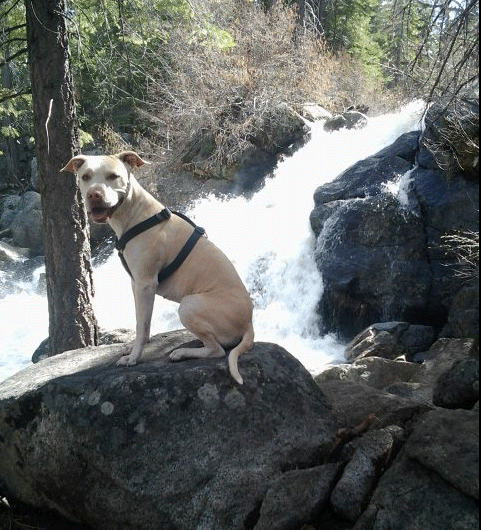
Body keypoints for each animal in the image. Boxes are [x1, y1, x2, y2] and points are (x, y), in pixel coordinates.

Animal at [62, 151, 253, 382]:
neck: (136, 214)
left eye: (113, 176)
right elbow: (140, 321)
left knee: (217, 350)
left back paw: (182, 353)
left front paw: (134, 357)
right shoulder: (136, 284)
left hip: (189, 305)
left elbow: (142, 326)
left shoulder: (145, 284)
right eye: (85, 177)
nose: (94, 195)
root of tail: (249, 322)